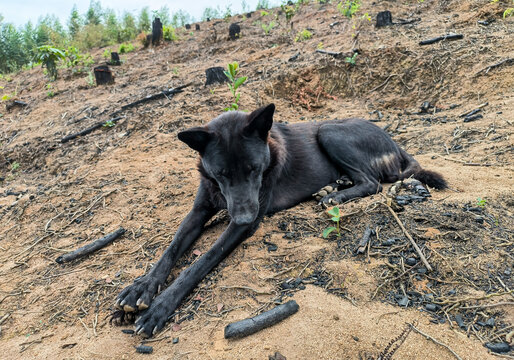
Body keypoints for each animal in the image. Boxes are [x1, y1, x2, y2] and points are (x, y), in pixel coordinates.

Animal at [116, 103, 444, 334]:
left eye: (254, 168)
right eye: (221, 173)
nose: (244, 216)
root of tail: (397, 145)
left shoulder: (242, 224)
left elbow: (200, 261)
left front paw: (160, 307)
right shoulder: (199, 211)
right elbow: (170, 250)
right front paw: (141, 287)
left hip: (329, 130)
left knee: (372, 183)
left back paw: (334, 197)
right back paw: (334, 186)